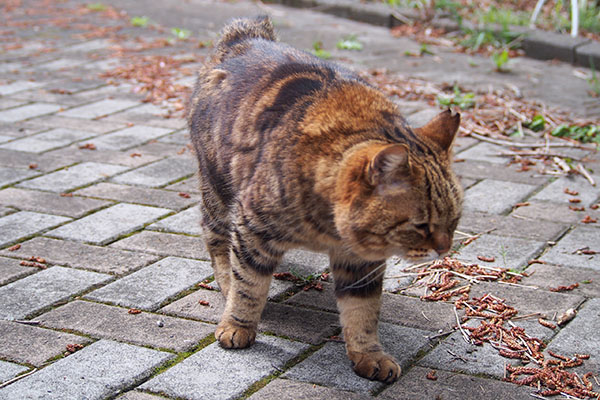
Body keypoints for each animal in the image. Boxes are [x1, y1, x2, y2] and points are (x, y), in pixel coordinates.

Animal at [190, 17, 462, 382]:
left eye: (454, 221)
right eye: (421, 225)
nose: (444, 249)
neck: (328, 231)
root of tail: (247, 36)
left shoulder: (361, 263)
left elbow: (363, 313)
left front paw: (368, 355)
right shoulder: (251, 228)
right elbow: (249, 286)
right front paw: (238, 325)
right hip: (218, 188)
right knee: (216, 238)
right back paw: (225, 282)